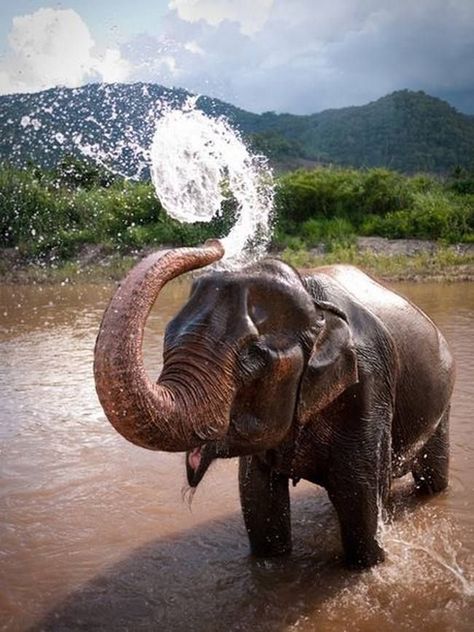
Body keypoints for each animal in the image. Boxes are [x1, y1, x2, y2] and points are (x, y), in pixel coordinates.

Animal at [94, 241, 454, 568]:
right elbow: (258, 500)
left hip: (444, 398)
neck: (312, 297)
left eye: (253, 355)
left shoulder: (368, 386)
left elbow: (360, 502)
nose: (216, 243)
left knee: (431, 479)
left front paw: (370, 562)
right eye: (168, 336)